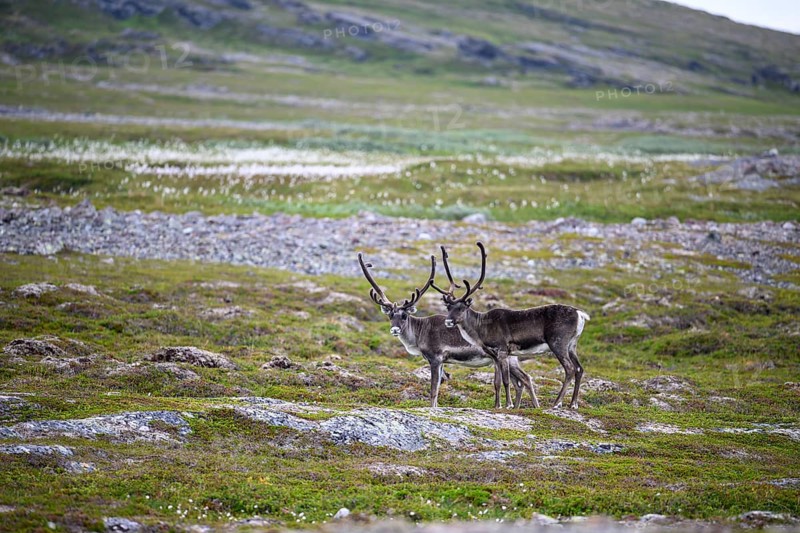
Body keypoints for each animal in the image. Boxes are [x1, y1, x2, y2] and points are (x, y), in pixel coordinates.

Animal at [358, 252, 539, 409]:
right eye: (390, 315)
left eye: (404, 315)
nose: (395, 330)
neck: (419, 332)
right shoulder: (442, 361)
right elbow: (438, 389)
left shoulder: (435, 359)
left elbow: (433, 390)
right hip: (510, 359)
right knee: (522, 381)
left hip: (507, 358)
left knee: (525, 379)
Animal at [431, 242, 590, 410]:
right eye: (448, 307)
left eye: (462, 308)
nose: (448, 321)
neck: (481, 329)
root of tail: (580, 314)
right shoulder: (494, 356)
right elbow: (497, 382)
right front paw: (497, 406)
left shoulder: (502, 351)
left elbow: (506, 381)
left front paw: (508, 404)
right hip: (572, 345)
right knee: (579, 368)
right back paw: (573, 404)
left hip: (558, 343)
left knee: (570, 369)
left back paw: (557, 403)